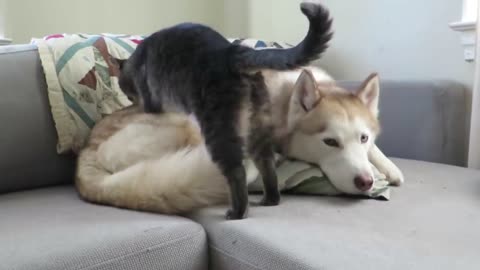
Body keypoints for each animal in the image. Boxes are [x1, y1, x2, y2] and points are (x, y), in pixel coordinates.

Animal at [76, 67, 404, 215]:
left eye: (362, 138)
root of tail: (86, 151)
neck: (284, 99)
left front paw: (388, 168)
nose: (365, 182)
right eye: (330, 142)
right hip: (187, 121)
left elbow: (377, 151)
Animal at [117, 1, 334, 219]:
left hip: (218, 126)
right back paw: (270, 199)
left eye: (125, 88)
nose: (129, 98)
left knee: (237, 170)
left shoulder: (151, 99)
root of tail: (230, 50)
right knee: (266, 162)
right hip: (257, 124)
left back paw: (238, 211)